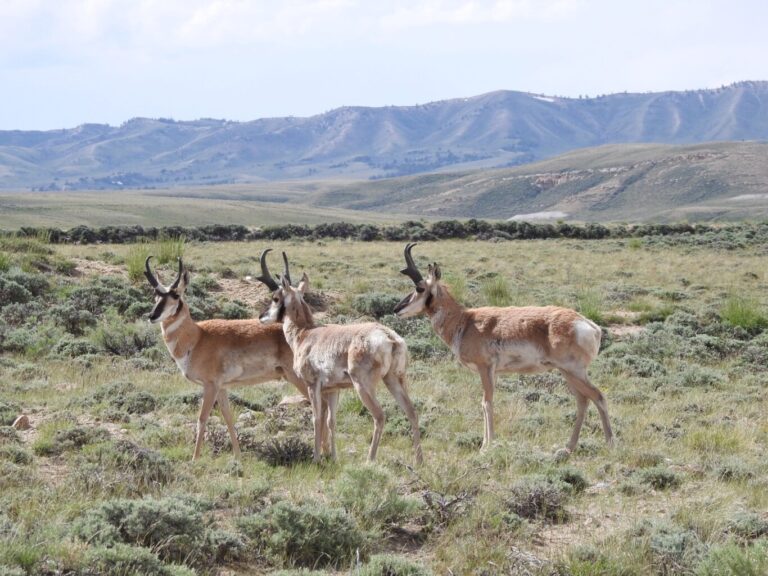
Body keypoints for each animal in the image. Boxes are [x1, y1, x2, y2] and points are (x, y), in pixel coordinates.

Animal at [144, 252, 312, 460]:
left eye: (175, 294)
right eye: (155, 294)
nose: (152, 316)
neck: (198, 336)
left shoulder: (210, 386)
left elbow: (202, 418)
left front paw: (194, 458)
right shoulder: (222, 388)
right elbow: (228, 417)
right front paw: (238, 456)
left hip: (299, 379)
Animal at [260, 252, 424, 464]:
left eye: (275, 297)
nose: (261, 316)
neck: (306, 334)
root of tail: (389, 337)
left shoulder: (312, 385)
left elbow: (317, 418)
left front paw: (316, 458)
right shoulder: (333, 390)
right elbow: (332, 421)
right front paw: (334, 458)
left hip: (363, 385)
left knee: (379, 416)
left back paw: (369, 460)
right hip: (394, 380)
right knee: (411, 412)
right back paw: (419, 461)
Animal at [392, 243, 616, 454]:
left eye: (419, 288)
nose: (396, 309)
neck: (466, 321)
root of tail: (590, 325)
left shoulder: (485, 369)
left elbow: (486, 403)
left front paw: (486, 446)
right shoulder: (494, 373)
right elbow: (486, 403)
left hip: (573, 371)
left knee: (598, 396)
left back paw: (610, 444)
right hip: (568, 373)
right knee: (583, 401)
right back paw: (568, 447)